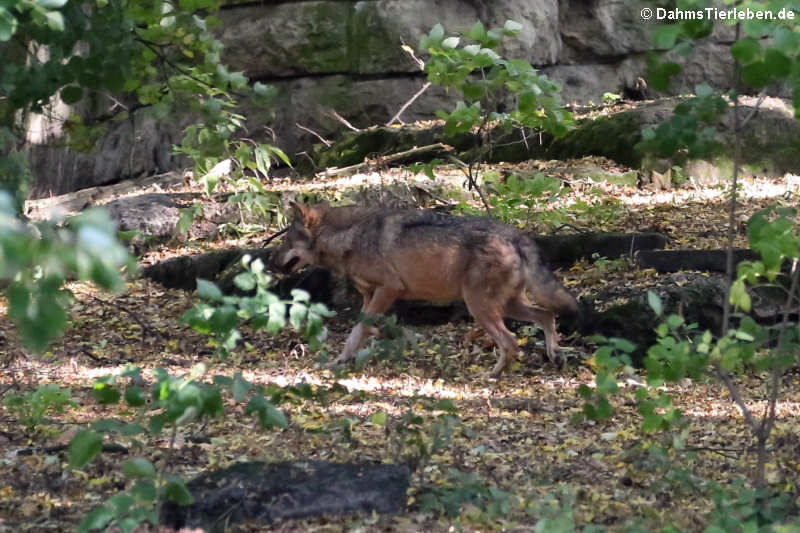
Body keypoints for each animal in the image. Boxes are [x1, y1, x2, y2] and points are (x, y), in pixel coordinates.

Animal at [274, 202, 576, 376]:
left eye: (286, 242)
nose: (272, 263)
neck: (351, 237)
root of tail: (515, 234)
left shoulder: (388, 289)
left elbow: (360, 329)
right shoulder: (370, 296)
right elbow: (361, 331)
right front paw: (342, 360)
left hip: (480, 308)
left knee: (511, 342)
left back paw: (491, 376)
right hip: (508, 305)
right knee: (546, 315)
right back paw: (555, 355)